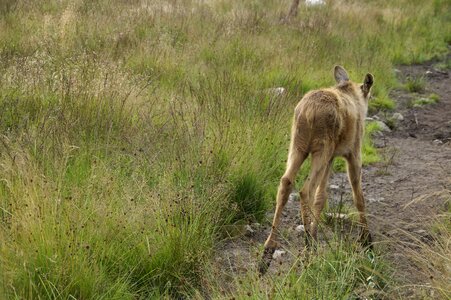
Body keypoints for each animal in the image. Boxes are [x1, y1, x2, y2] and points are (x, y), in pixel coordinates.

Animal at [262, 65, 374, 274]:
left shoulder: (331, 159)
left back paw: (268, 251)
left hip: (298, 145)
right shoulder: (353, 153)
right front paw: (367, 240)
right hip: (322, 148)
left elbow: (321, 198)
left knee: (286, 182)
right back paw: (308, 242)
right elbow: (359, 197)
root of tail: (307, 111)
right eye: (369, 95)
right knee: (305, 189)